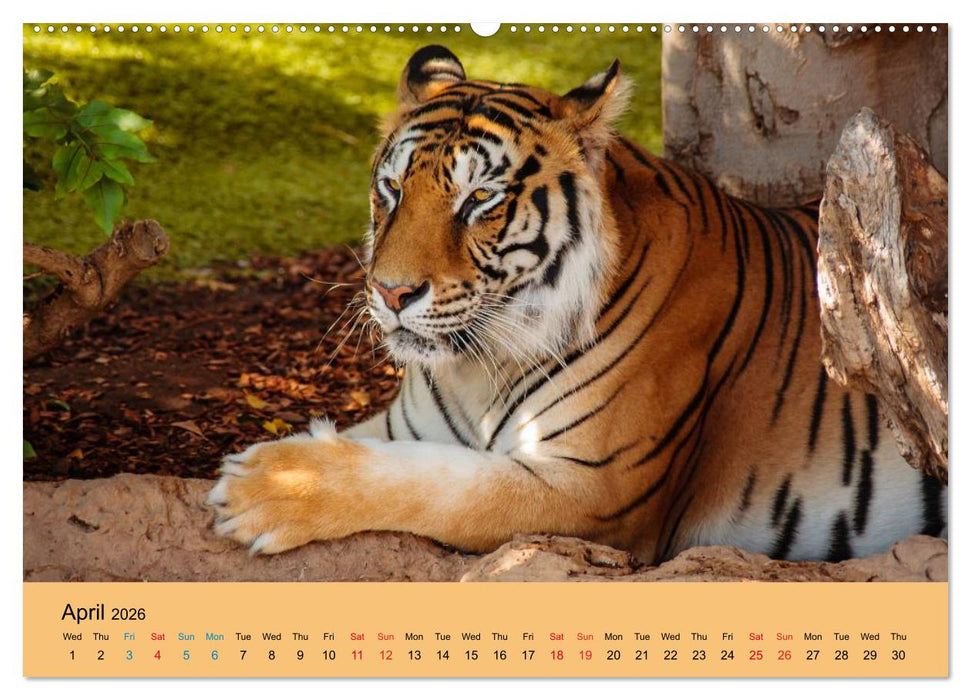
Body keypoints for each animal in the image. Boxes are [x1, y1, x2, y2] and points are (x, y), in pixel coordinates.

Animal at [207, 45, 947, 565]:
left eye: (479, 199)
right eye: (391, 189)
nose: (390, 293)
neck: (476, 367)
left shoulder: (593, 492)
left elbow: (440, 486)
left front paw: (265, 486)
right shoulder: (403, 427)